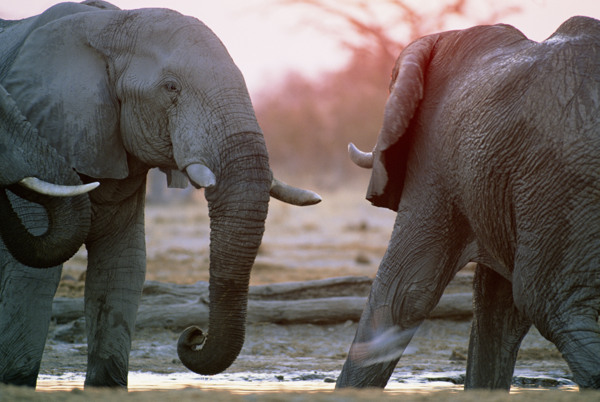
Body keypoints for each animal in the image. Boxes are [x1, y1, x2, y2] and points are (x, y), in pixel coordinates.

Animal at [0, 0, 318, 390]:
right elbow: (33, 272)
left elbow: (125, 264)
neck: (112, 24)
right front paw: (15, 383)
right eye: (171, 87)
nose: (194, 335)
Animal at [338, 17, 600, 392]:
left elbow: (404, 292)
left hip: (563, 179)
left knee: (548, 303)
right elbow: (497, 310)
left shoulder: (433, 158)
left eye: (389, 83)